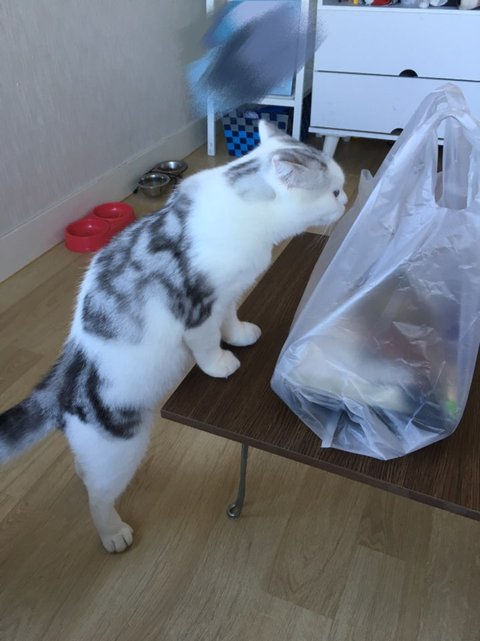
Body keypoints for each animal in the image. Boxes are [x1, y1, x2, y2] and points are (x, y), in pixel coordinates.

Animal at [0, 120, 347, 552]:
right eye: (334, 191)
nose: (347, 202)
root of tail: (60, 382)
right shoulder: (198, 308)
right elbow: (206, 342)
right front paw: (219, 364)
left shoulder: (227, 294)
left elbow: (229, 318)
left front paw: (239, 335)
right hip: (120, 448)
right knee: (98, 496)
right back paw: (112, 533)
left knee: (84, 470)